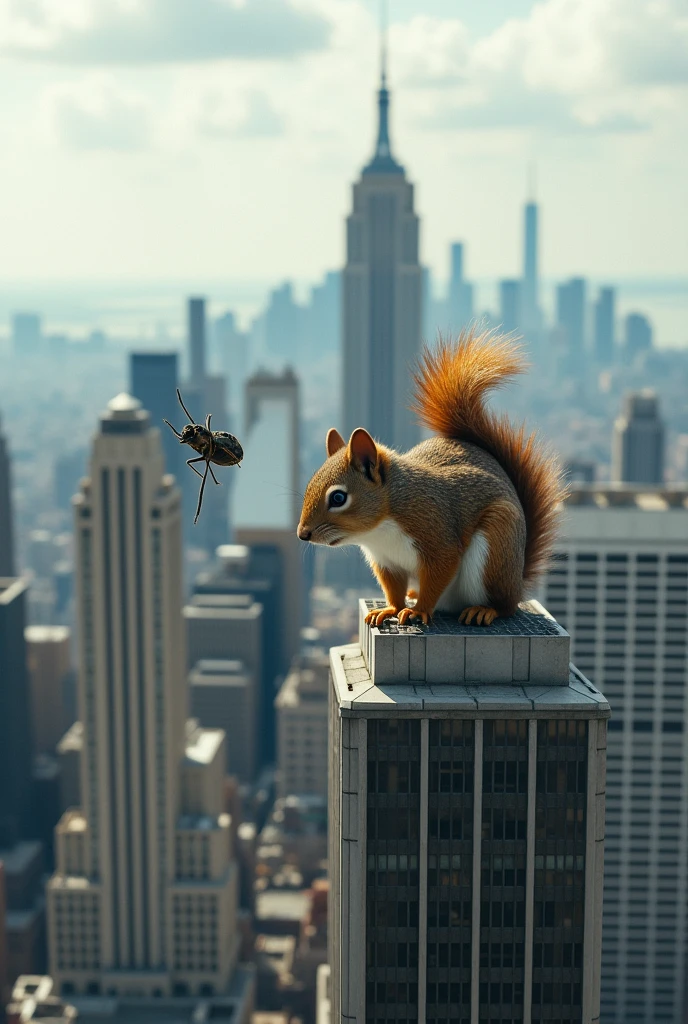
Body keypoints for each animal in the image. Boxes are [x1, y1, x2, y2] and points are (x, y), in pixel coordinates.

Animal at [294, 331, 565, 626]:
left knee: (506, 605)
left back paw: (484, 610)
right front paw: (391, 608)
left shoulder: (436, 535)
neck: (380, 528)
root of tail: (517, 580)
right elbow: (393, 587)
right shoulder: (386, 560)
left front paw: (418, 610)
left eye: (338, 497)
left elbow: (438, 574)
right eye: (308, 486)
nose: (302, 534)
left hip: (495, 547)